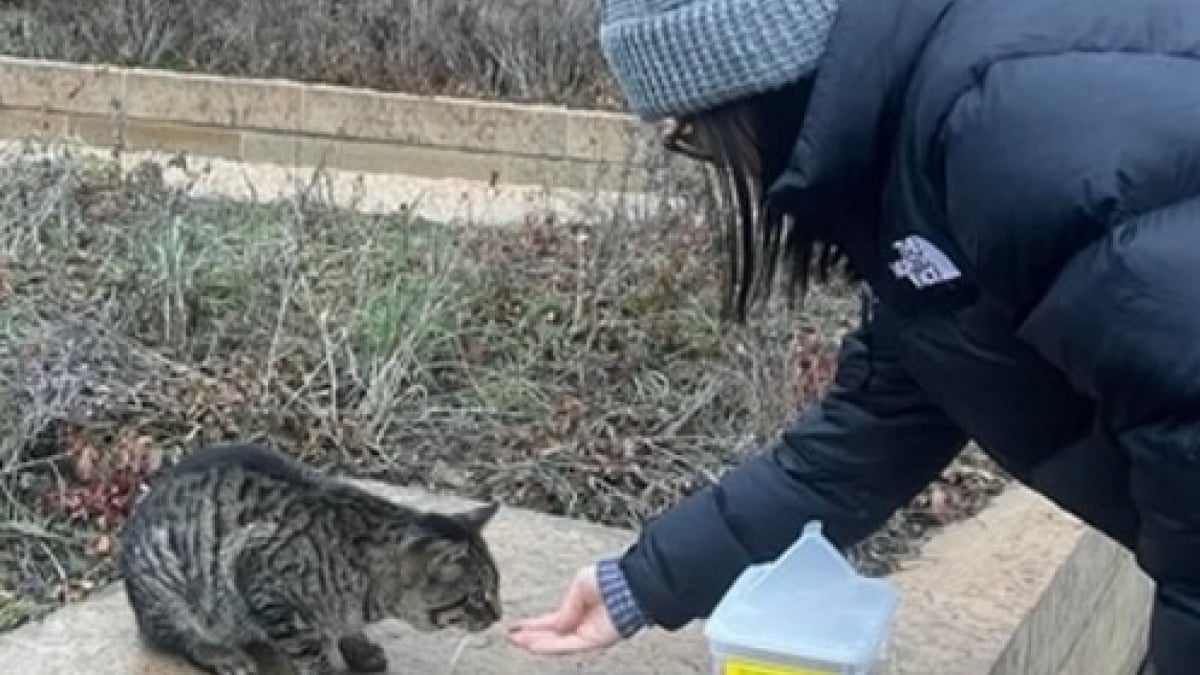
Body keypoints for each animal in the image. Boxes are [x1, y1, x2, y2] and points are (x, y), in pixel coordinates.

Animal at [118, 441, 501, 672]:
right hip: (168, 585)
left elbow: (348, 629)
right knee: (177, 636)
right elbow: (309, 653)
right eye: (478, 597)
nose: (498, 615)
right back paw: (223, 654)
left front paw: (358, 645)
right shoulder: (265, 587)